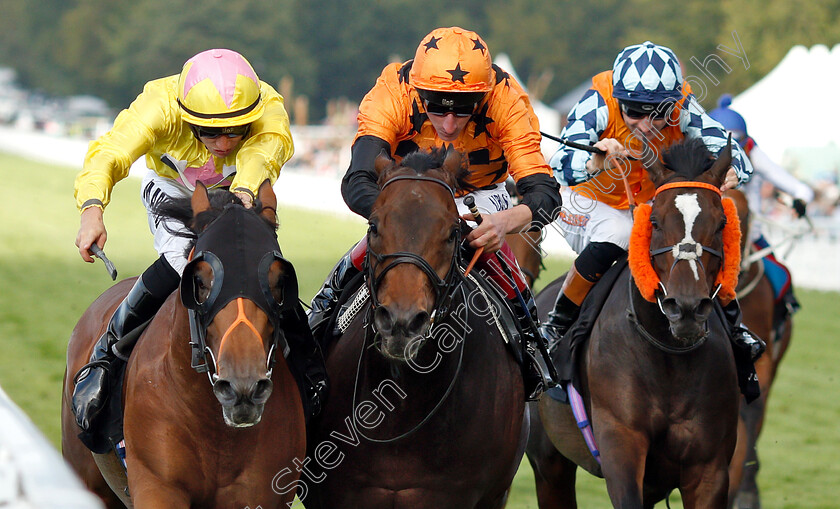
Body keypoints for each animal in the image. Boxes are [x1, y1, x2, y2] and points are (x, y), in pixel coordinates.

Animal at [62, 181, 306, 506]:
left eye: (278, 282)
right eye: (199, 281)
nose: (243, 387)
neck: (216, 429)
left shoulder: (263, 493)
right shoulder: (157, 484)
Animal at [528, 136, 740, 508]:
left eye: (721, 224)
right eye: (654, 220)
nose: (686, 308)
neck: (669, 357)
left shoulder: (709, 468)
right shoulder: (621, 444)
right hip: (549, 463)